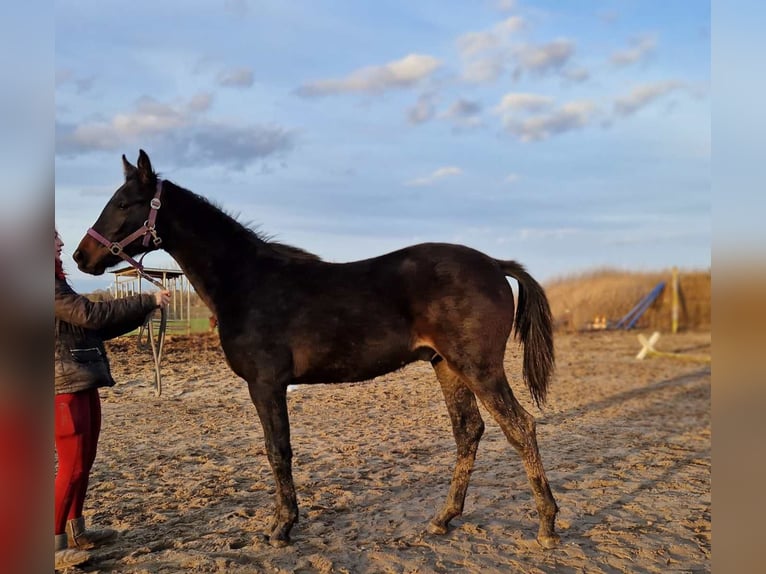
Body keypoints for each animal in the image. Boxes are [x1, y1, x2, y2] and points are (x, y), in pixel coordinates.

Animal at [75, 151, 560, 552]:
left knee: (520, 427)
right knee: (468, 432)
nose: (82, 257)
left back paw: (547, 526)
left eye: (124, 203)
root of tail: (494, 264)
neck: (247, 283)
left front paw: (281, 527)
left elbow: (278, 450)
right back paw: (443, 519)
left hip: (478, 368)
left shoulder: (266, 384)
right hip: (447, 367)